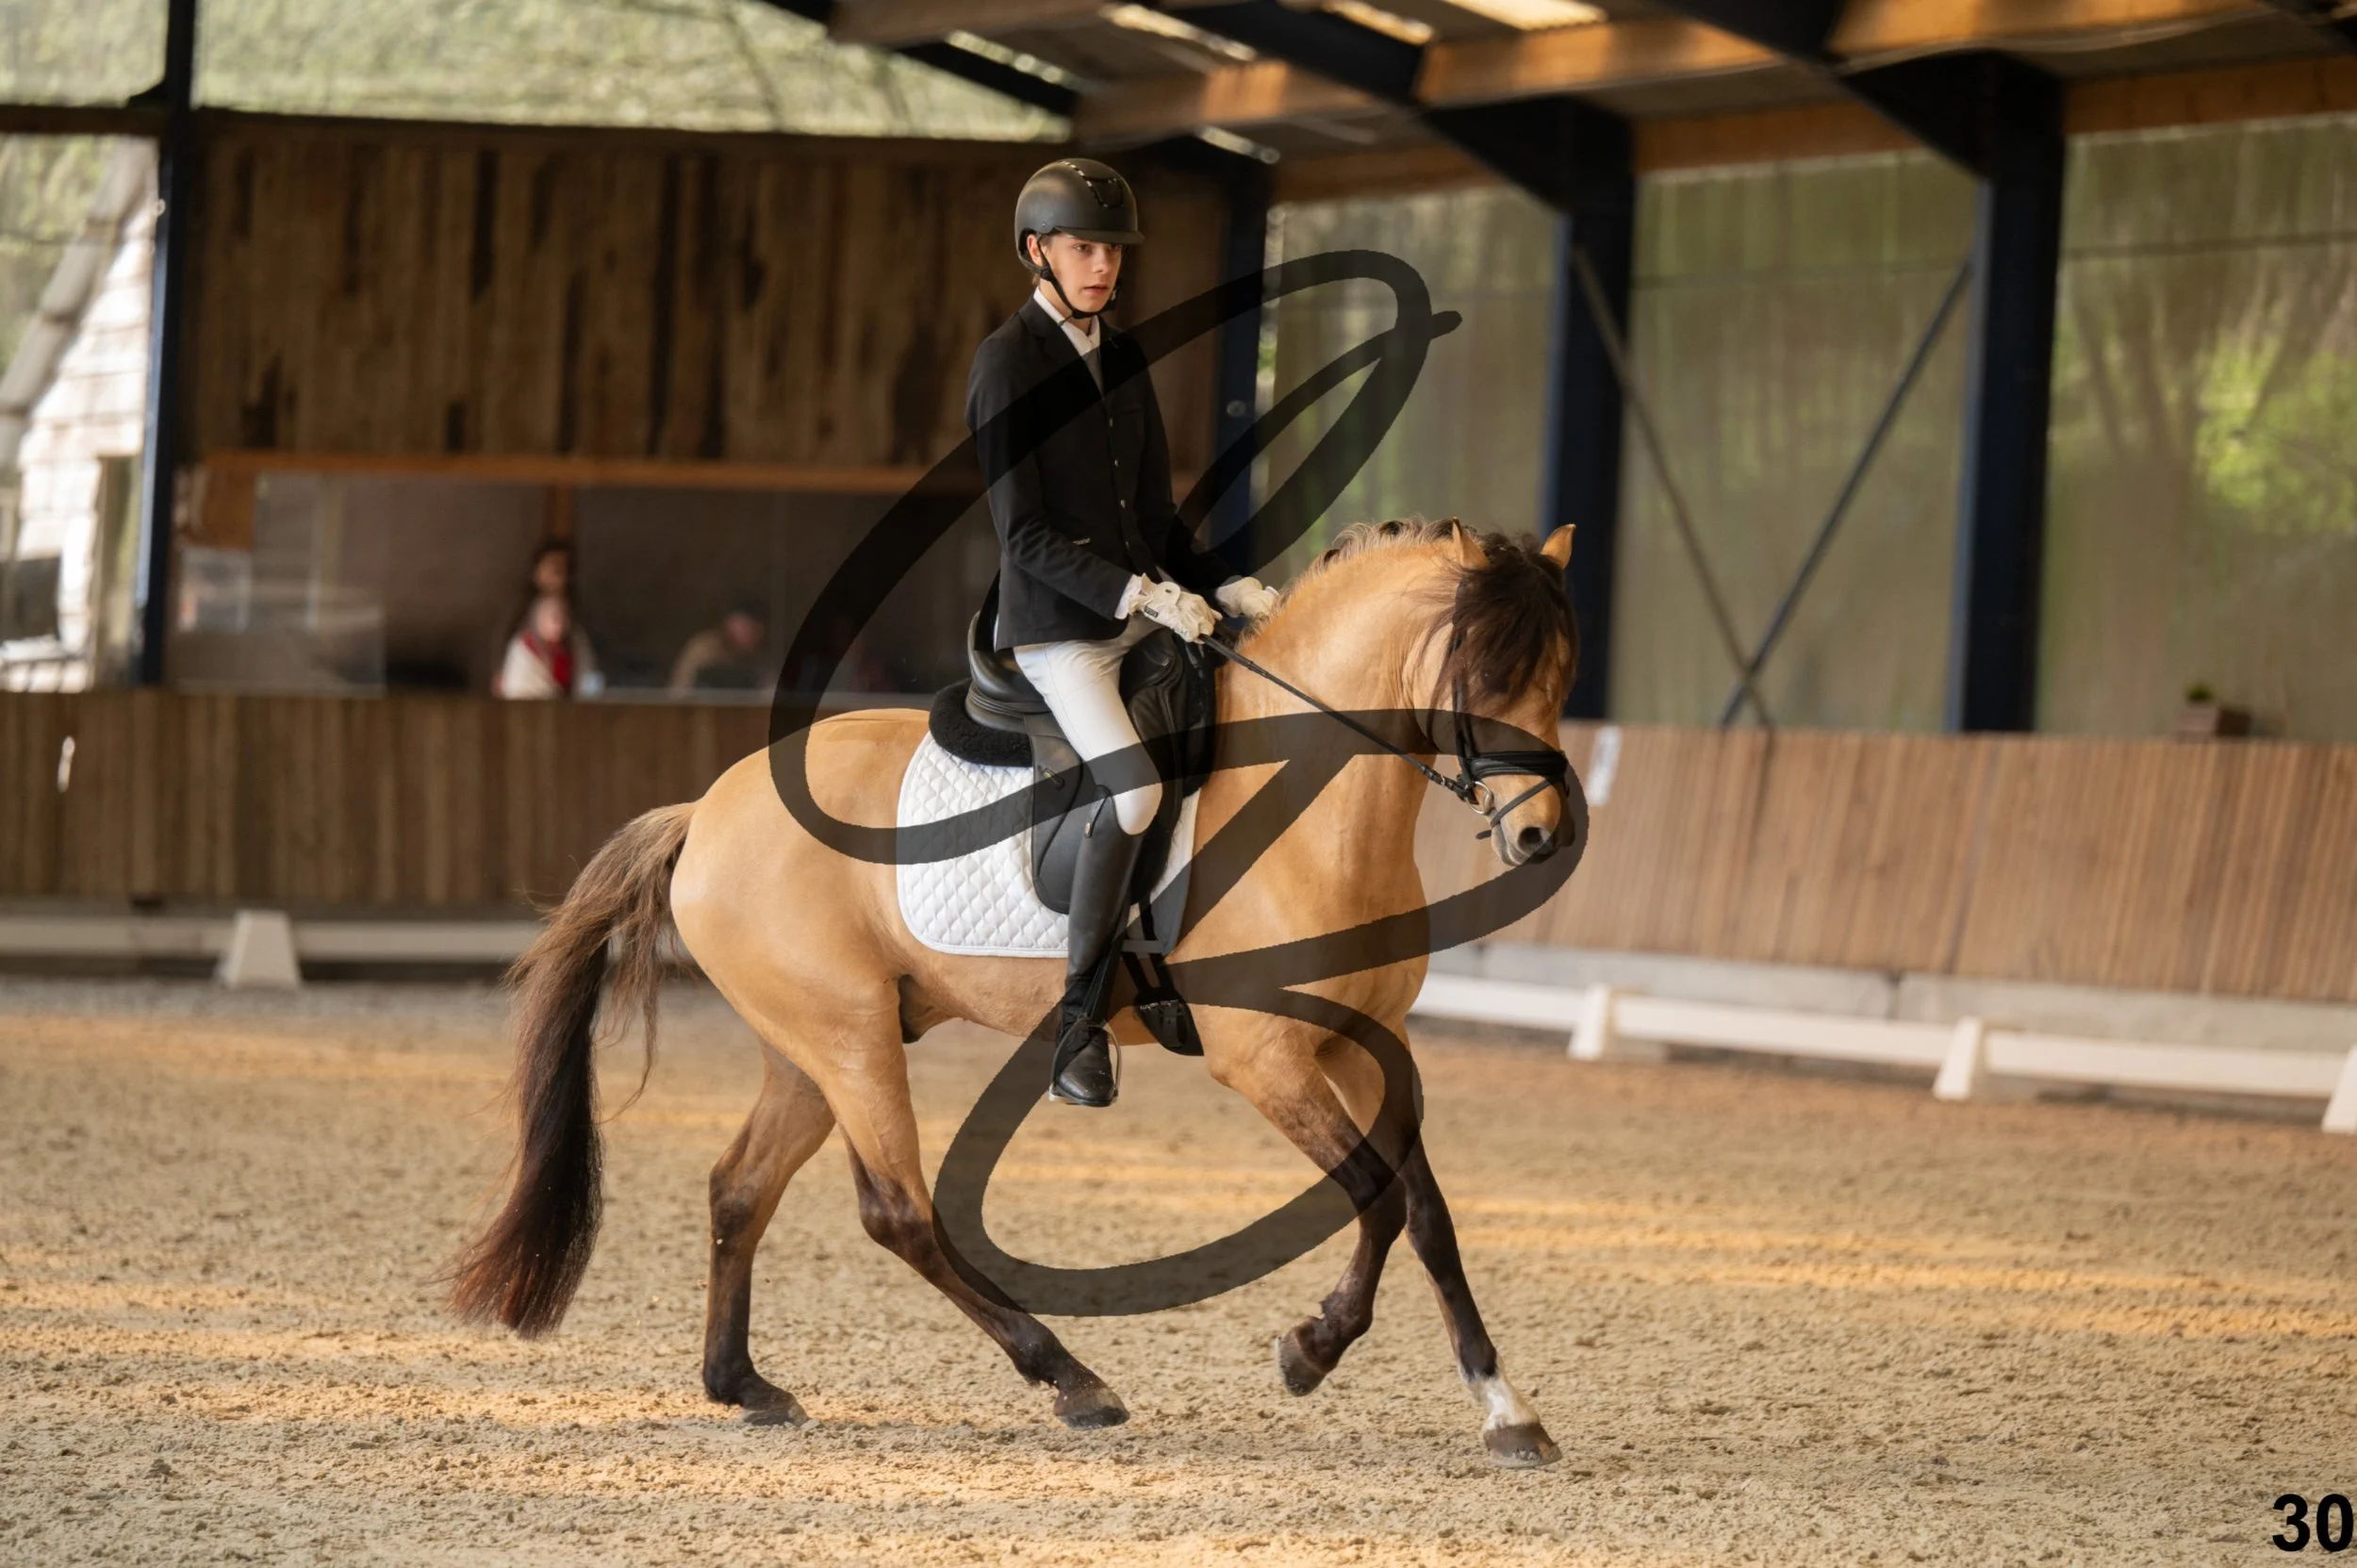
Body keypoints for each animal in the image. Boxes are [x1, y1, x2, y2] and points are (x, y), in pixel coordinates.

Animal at [445, 516, 1582, 1468]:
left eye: (1562, 676)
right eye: (1487, 672)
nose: (1539, 837)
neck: (1310, 809)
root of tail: (707, 809)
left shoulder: (1367, 1038)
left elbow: (1427, 1211)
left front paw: (1505, 1407)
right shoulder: (1265, 1059)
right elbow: (1377, 1196)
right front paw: (1310, 1348)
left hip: (807, 1048)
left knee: (740, 1186)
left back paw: (744, 1385)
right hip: (852, 1038)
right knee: (897, 1211)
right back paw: (1071, 1378)